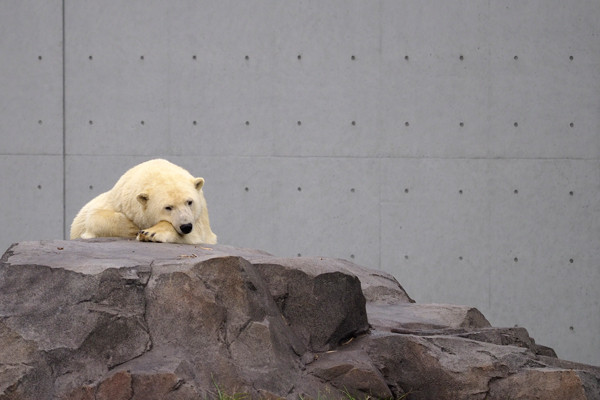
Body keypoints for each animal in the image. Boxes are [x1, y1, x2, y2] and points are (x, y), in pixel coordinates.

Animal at [70, 159, 217, 244]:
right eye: (168, 207)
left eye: (190, 202)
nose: (186, 226)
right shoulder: (119, 199)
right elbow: (93, 216)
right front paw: (134, 228)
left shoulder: (200, 217)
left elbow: (198, 234)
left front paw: (150, 233)